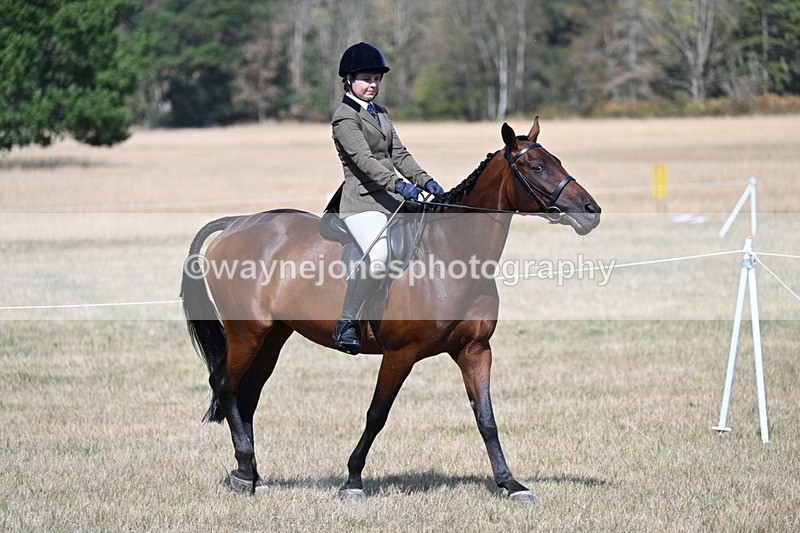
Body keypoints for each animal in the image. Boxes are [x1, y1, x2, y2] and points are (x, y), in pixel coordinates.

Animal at [180, 118, 601, 502]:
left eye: (557, 160)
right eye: (537, 167)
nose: (590, 209)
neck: (450, 254)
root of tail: (236, 224)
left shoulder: (475, 351)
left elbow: (486, 419)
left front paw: (510, 484)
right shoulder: (400, 354)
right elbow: (377, 414)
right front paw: (352, 480)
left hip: (273, 335)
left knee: (248, 395)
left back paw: (251, 474)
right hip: (246, 331)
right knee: (226, 385)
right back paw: (243, 471)